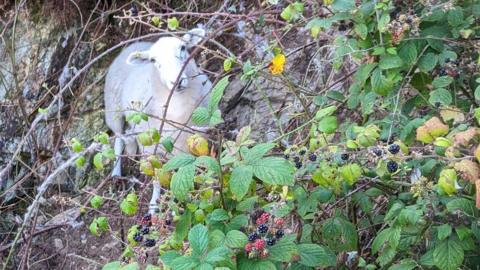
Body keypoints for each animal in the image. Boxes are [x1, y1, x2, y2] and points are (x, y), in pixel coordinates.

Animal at [105, 28, 212, 176]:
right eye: (153, 60)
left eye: (183, 48)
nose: (176, 81)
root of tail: (130, 46)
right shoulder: (151, 151)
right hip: (113, 110)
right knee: (118, 135)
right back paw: (118, 169)